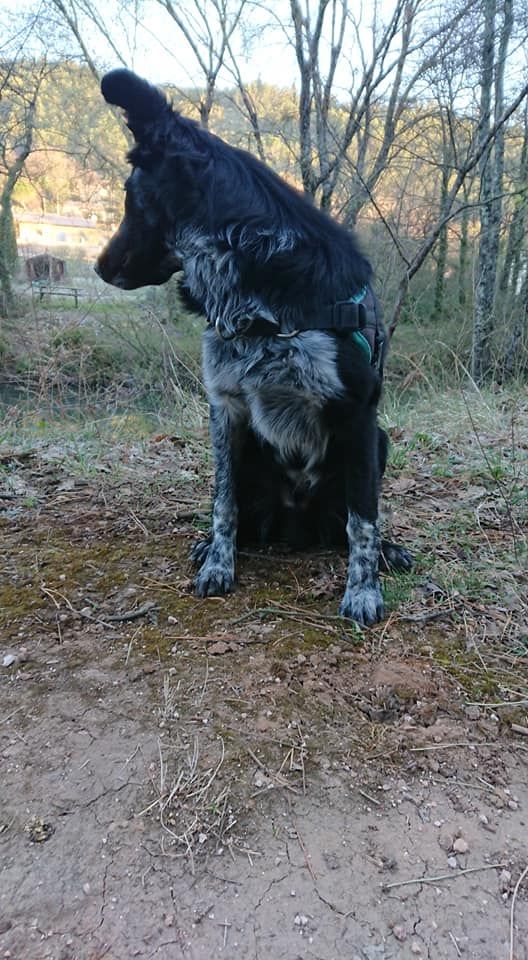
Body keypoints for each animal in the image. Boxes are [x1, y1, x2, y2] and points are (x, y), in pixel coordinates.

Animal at [96, 67, 412, 624]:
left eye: (131, 198)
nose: (98, 267)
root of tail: (296, 526)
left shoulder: (359, 416)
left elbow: (363, 520)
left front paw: (363, 591)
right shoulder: (225, 409)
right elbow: (223, 503)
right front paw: (218, 564)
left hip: (377, 442)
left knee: (348, 520)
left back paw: (387, 553)